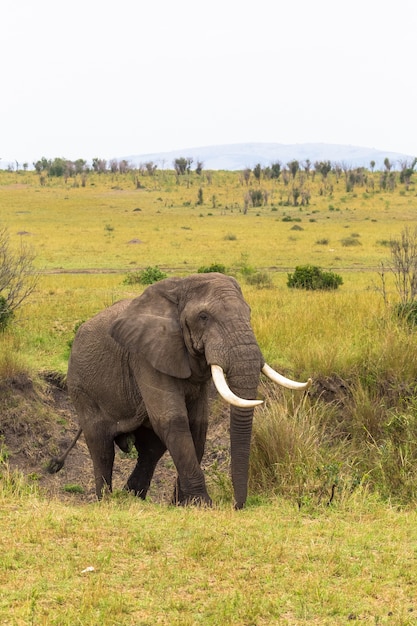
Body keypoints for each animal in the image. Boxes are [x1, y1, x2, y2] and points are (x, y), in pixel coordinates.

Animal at [48, 272, 308, 508]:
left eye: (249, 313)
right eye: (203, 317)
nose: (238, 505)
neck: (179, 289)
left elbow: (198, 425)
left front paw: (182, 504)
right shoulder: (146, 355)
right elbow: (173, 420)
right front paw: (202, 505)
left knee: (151, 449)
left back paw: (132, 497)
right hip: (82, 387)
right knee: (102, 447)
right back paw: (108, 501)